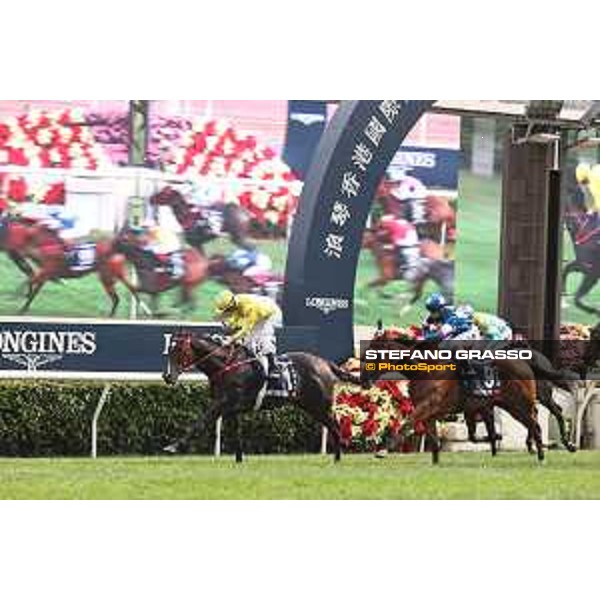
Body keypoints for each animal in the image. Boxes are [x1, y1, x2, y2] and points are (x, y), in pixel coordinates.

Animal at [162, 330, 364, 462]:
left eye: (179, 351)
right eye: (168, 351)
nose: (167, 376)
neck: (226, 365)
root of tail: (326, 363)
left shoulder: (223, 403)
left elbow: (201, 422)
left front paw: (173, 446)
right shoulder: (231, 407)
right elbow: (236, 432)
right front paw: (239, 459)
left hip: (320, 405)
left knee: (335, 426)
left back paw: (337, 458)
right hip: (311, 406)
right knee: (332, 426)